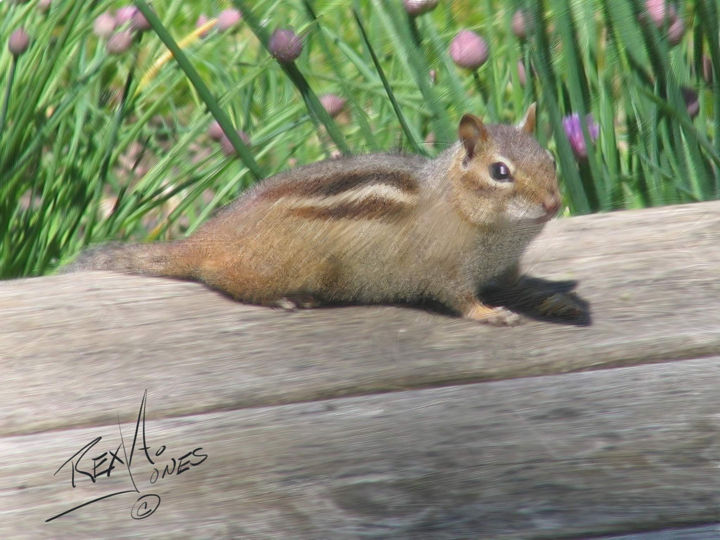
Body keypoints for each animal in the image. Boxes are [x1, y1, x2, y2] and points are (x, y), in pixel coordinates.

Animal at [64, 103, 577, 325]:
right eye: (499, 172)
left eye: (551, 159)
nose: (554, 204)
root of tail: (205, 239)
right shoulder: (443, 268)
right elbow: (459, 299)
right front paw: (490, 314)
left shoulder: (504, 267)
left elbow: (520, 285)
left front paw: (552, 300)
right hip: (284, 265)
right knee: (226, 281)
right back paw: (286, 299)